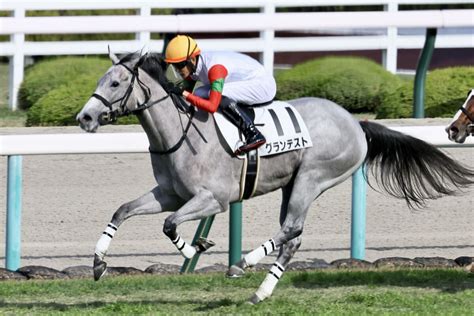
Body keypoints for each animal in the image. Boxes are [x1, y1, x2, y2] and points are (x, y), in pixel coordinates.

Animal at [76, 51, 472, 304]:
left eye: (115, 83)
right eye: (102, 80)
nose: (84, 118)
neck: (181, 133)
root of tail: (356, 123)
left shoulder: (213, 199)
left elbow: (170, 224)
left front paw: (194, 248)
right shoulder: (169, 194)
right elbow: (123, 211)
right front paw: (98, 264)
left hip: (311, 178)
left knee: (291, 230)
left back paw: (242, 264)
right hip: (292, 184)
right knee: (292, 238)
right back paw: (260, 292)